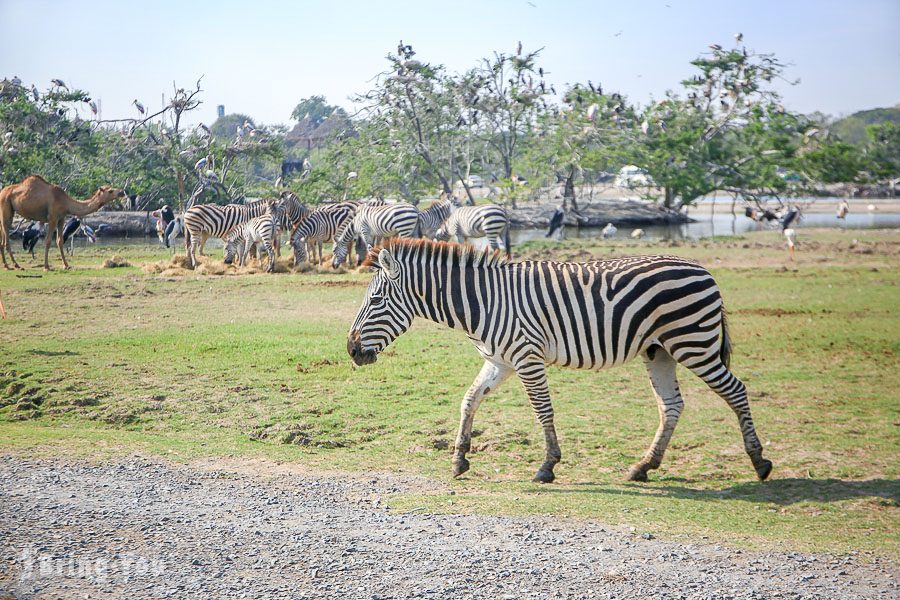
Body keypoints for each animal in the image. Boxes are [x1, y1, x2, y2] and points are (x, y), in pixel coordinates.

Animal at [346, 239, 772, 482]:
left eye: (376, 300)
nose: (350, 351)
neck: (483, 302)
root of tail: (703, 269)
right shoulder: (500, 360)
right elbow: (469, 401)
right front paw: (459, 460)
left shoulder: (526, 356)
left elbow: (543, 411)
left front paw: (547, 466)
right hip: (659, 350)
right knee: (671, 405)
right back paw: (643, 467)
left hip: (693, 343)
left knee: (736, 390)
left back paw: (759, 461)